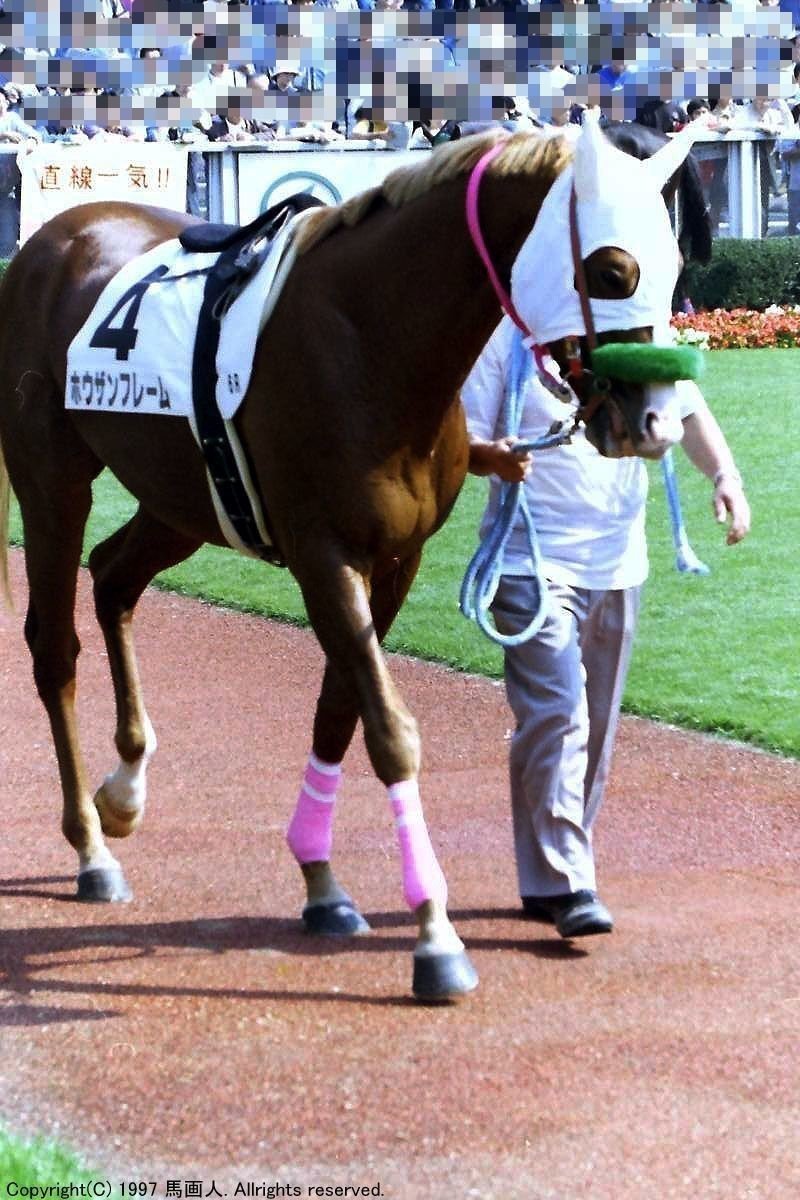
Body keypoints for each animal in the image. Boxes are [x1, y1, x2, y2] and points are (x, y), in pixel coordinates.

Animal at [0, 121, 703, 1001]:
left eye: (678, 265)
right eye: (613, 269)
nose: (655, 421)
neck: (372, 334)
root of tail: (53, 235)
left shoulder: (396, 557)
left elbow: (340, 710)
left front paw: (322, 883)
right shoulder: (323, 554)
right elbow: (391, 731)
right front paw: (435, 936)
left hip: (181, 496)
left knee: (115, 577)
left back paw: (125, 788)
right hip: (50, 476)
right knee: (54, 646)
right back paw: (91, 846)